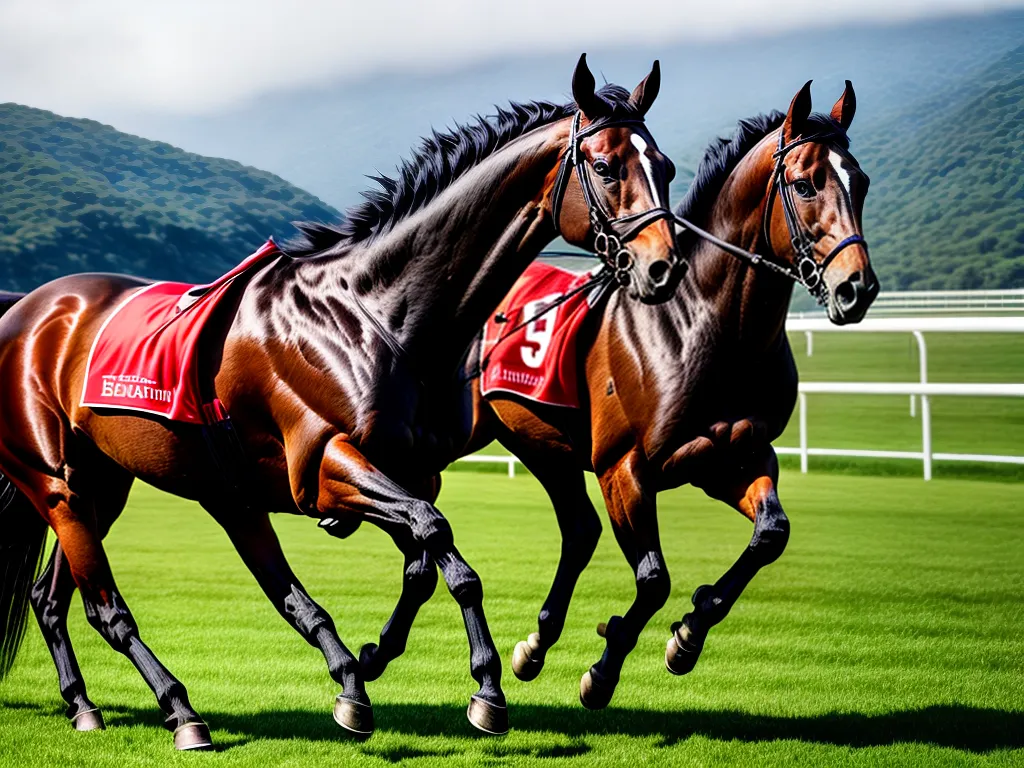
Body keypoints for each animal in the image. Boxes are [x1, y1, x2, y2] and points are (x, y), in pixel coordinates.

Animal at [0, 55, 684, 749]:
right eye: (607, 166)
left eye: (666, 167)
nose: (664, 268)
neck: (374, 311)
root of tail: (27, 308)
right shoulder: (327, 466)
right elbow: (441, 543)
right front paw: (483, 686)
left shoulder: (408, 471)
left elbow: (424, 562)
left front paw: (377, 662)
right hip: (55, 483)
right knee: (105, 608)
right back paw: (181, 709)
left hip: (106, 483)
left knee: (52, 598)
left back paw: (86, 703)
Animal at [464, 80, 878, 709]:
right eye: (807, 182)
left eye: (862, 182)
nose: (857, 287)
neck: (707, 327)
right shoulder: (625, 469)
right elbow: (654, 579)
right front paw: (604, 669)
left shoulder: (732, 455)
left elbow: (771, 534)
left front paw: (689, 632)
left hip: (541, 440)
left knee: (578, 530)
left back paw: (535, 644)